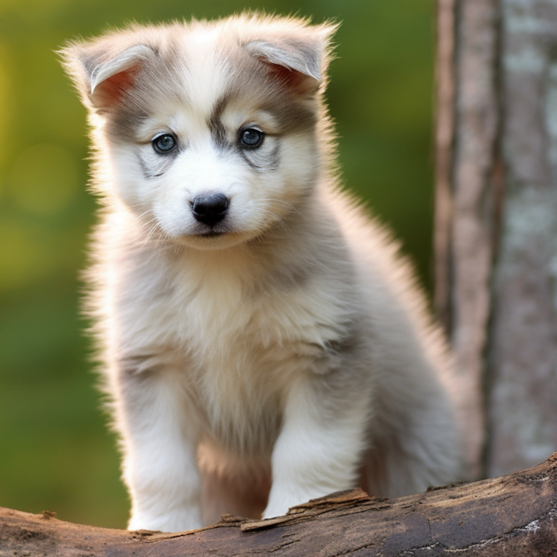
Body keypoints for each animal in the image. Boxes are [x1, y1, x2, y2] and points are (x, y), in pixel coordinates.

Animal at [60, 15, 460, 532]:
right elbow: (160, 465)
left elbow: (307, 451)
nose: (209, 205)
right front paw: (161, 528)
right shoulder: (150, 361)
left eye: (251, 136)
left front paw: (299, 510)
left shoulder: (327, 350)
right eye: (164, 142)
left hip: (419, 442)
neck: (218, 266)